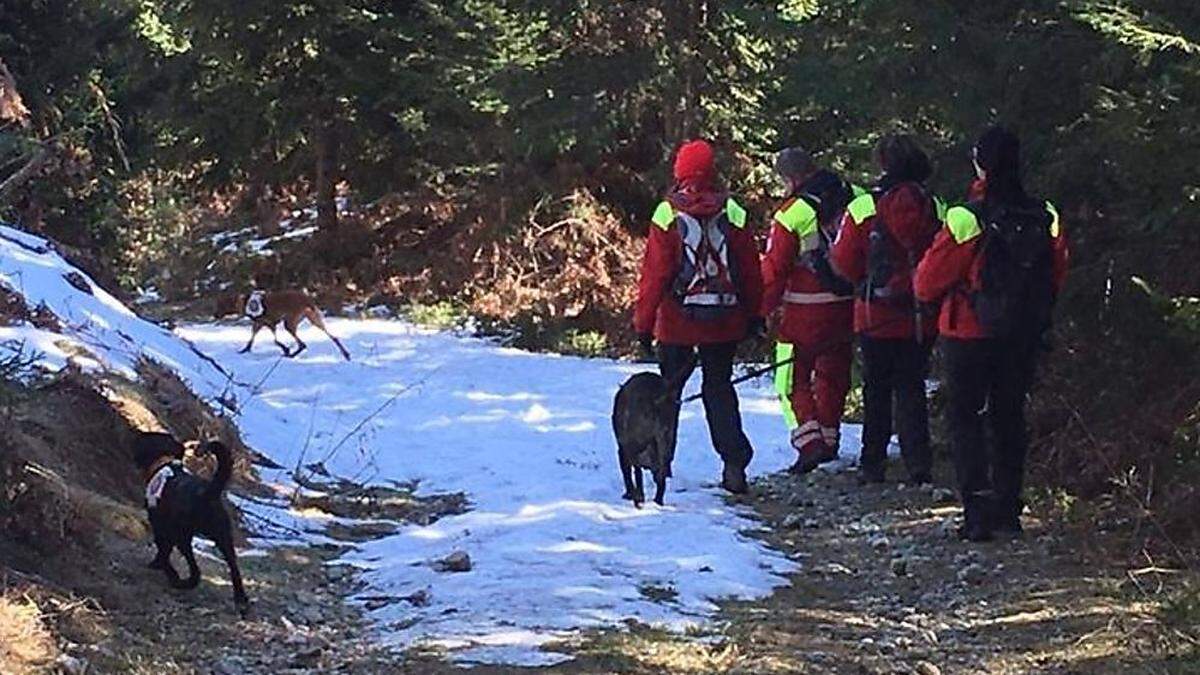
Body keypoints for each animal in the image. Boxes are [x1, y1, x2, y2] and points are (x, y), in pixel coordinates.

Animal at [132, 429, 249, 614]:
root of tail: (206, 493)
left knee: (195, 571)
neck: (164, 461)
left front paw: (163, 568)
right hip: (224, 538)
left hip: (183, 537)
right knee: (234, 568)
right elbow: (164, 551)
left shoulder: (160, 526)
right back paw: (241, 599)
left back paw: (181, 582)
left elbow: (163, 552)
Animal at [214, 288, 350, 357]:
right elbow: (252, 338)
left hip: (289, 323)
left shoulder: (269, 323)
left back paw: (292, 354)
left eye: (220, 305)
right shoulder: (259, 324)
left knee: (302, 344)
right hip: (314, 319)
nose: (215, 315)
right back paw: (345, 353)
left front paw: (285, 349)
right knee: (333, 337)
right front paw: (245, 349)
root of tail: (307, 299)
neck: (245, 301)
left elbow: (275, 340)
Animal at [614, 369, 681, 506]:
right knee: (661, 476)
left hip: (633, 446)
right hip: (667, 439)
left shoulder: (623, 451)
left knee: (638, 472)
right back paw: (657, 501)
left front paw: (630, 494)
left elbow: (628, 473)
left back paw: (639, 498)